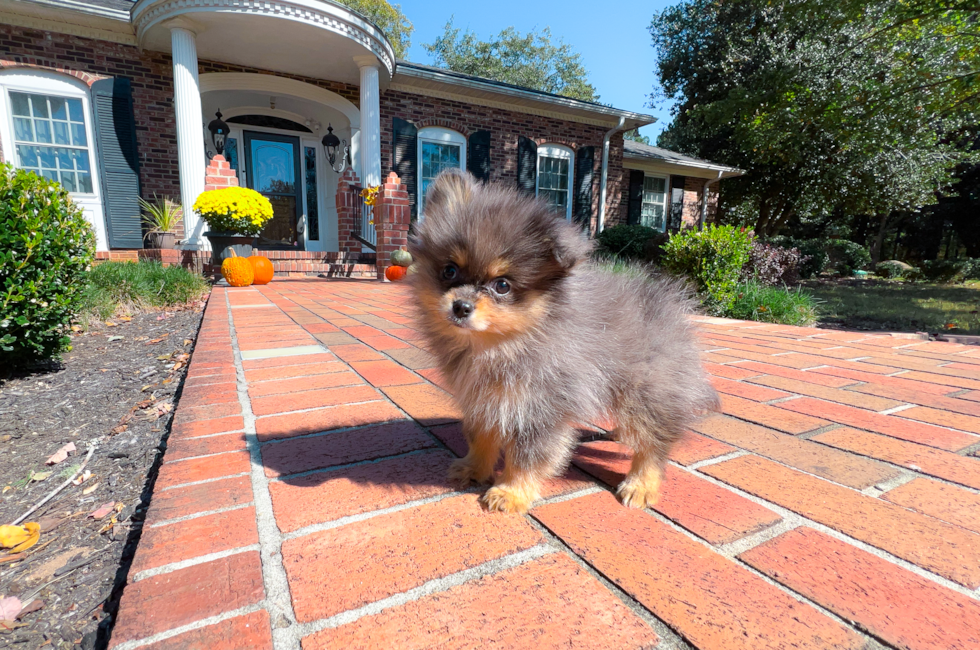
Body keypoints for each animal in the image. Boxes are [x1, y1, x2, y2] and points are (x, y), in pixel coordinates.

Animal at [408, 170, 720, 512]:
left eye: (502, 285)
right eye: (449, 271)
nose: (460, 306)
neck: (500, 346)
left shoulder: (540, 406)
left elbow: (527, 456)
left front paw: (511, 492)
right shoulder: (484, 400)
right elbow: (481, 437)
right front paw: (473, 468)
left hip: (647, 390)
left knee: (654, 441)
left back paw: (641, 484)